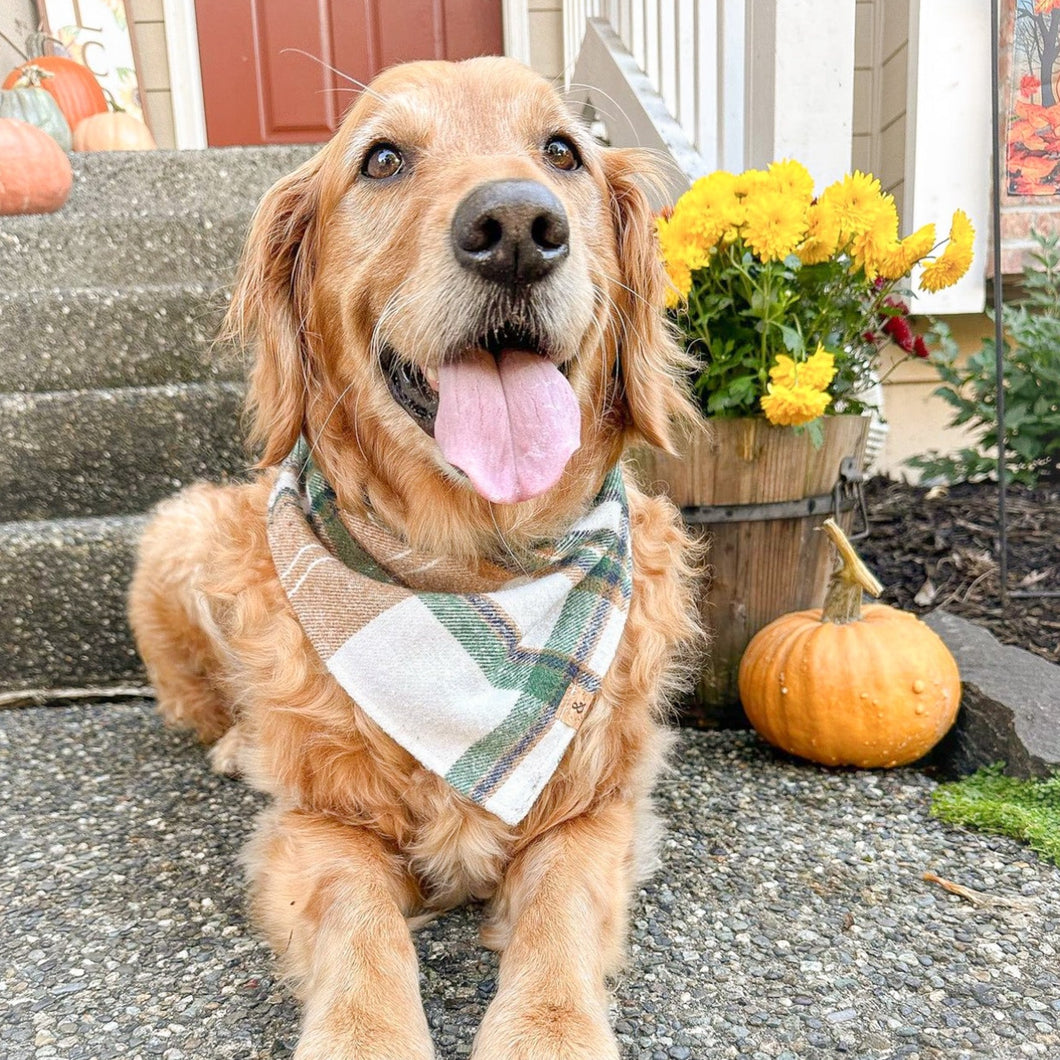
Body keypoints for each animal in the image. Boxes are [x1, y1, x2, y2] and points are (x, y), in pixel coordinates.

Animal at [128, 58, 699, 1060]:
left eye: (563, 152)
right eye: (383, 159)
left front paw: (547, 1031)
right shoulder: (320, 828)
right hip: (179, 535)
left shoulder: (598, 810)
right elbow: (360, 922)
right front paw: (366, 1035)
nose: (516, 229)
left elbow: (557, 910)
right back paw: (237, 742)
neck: (472, 577)